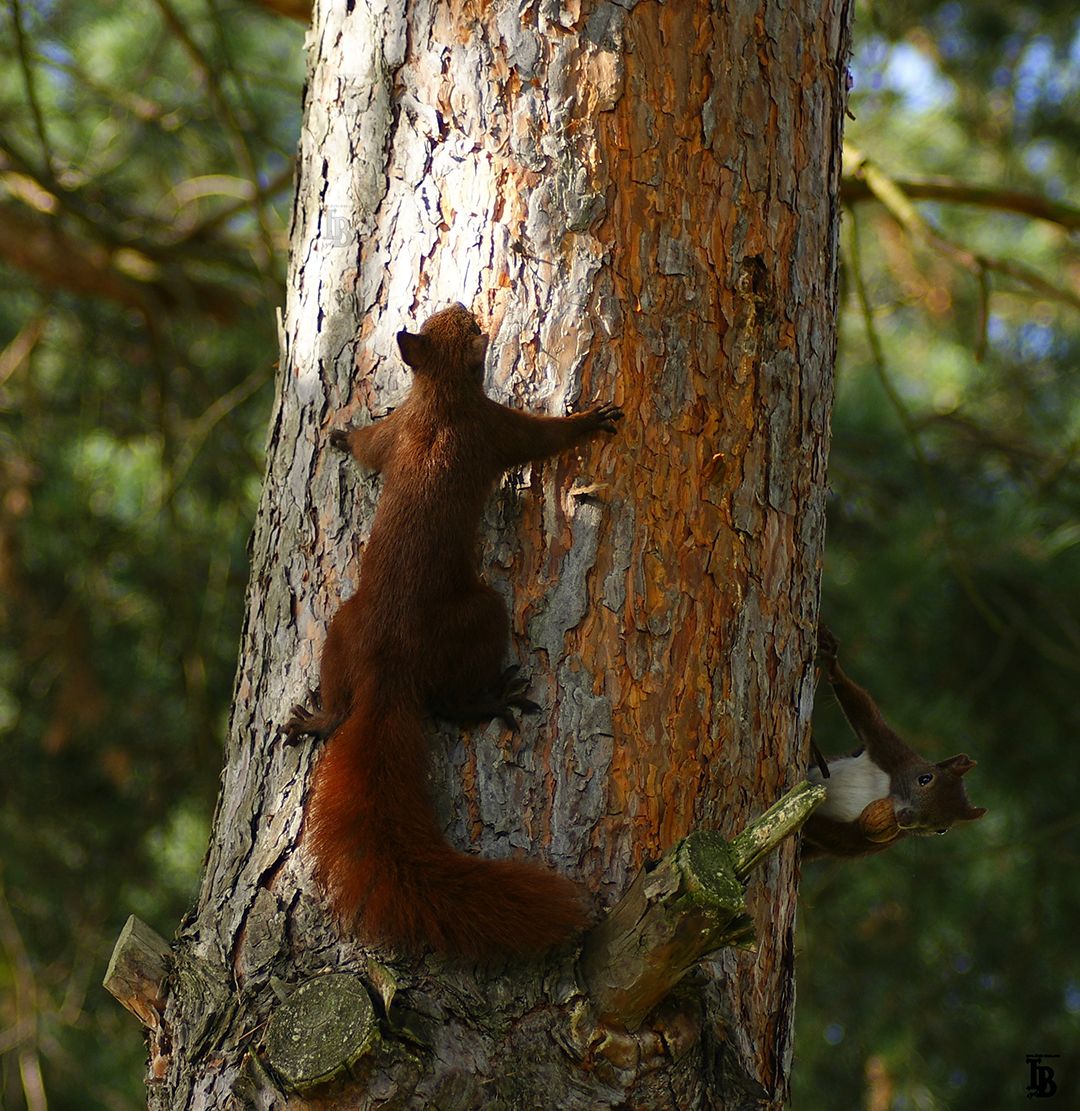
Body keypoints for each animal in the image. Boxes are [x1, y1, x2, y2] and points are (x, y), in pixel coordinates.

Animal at [286, 302, 622, 955]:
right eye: (466, 331)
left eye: (450, 320)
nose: (469, 308)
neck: (438, 400)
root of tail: (387, 668)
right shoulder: (495, 428)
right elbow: (542, 436)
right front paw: (590, 419)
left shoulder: (394, 430)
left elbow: (368, 446)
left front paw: (340, 435)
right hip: (478, 617)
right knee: (446, 701)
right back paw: (493, 700)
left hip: (341, 630)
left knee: (340, 709)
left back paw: (314, 719)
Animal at [800, 626, 986, 857]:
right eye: (925, 779)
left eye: (941, 829)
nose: (907, 818)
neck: (887, 792)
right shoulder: (889, 749)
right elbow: (864, 712)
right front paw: (832, 661)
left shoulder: (882, 837)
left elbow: (842, 841)